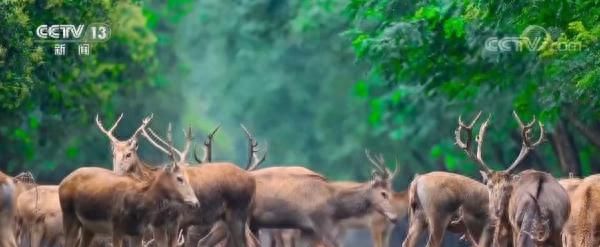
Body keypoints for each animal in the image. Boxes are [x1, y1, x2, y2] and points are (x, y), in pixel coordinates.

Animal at [458, 112, 568, 247]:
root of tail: (540, 180)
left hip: (520, 222)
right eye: (489, 185)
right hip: (557, 224)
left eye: (507, 187)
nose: (496, 210)